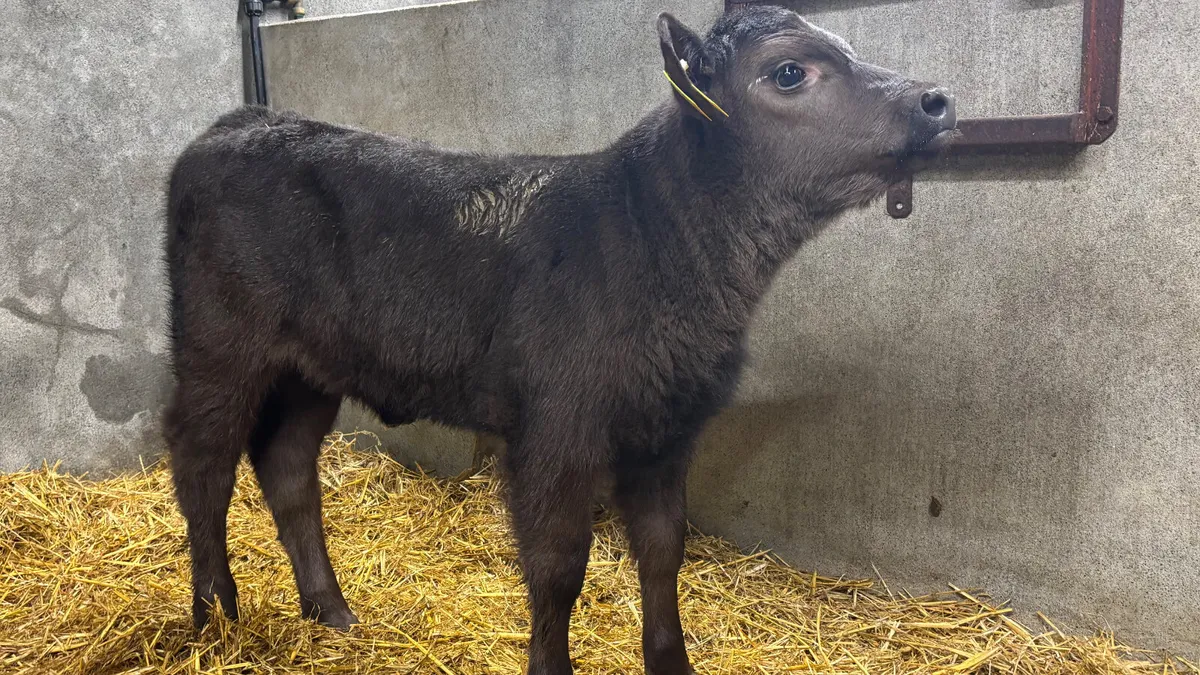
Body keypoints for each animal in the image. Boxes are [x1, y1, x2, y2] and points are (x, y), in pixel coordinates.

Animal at [163, 6, 956, 674]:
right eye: (790, 71)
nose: (937, 101)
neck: (653, 237)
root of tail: (242, 120)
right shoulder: (557, 430)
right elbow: (557, 565)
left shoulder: (668, 428)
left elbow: (662, 550)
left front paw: (671, 662)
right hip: (219, 346)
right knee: (203, 462)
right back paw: (215, 614)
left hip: (310, 368)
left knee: (288, 467)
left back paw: (330, 610)